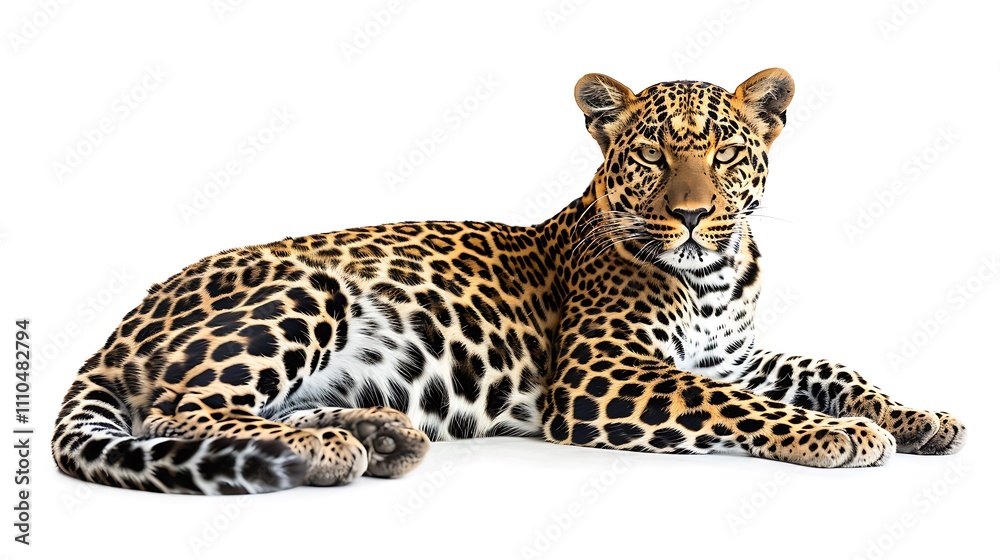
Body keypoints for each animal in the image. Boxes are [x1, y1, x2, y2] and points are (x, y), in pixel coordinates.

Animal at [51, 68, 966, 494]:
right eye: (653, 154)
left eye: (725, 152)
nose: (695, 214)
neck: (715, 277)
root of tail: (122, 324)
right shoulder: (605, 375)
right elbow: (737, 407)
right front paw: (840, 437)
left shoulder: (734, 354)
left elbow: (833, 369)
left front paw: (920, 418)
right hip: (307, 291)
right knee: (178, 411)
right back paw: (327, 449)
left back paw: (378, 435)